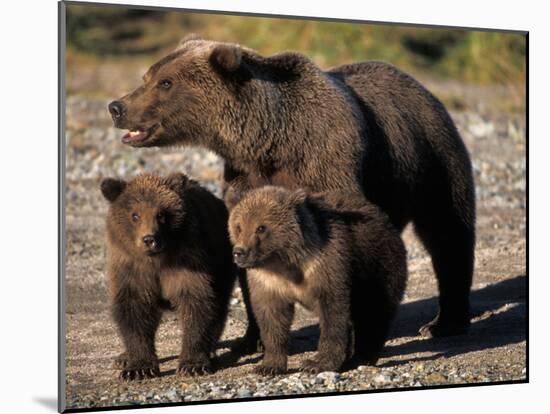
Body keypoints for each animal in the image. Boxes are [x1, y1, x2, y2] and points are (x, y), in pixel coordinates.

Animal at [110, 34, 476, 340]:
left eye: (165, 82)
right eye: (147, 77)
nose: (117, 107)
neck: (270, 143)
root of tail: (418, 84)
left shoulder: (327, 165)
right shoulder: (244, 181)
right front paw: (253, 337)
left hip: (432, 155)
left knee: (448, 231)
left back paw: (443, 322)